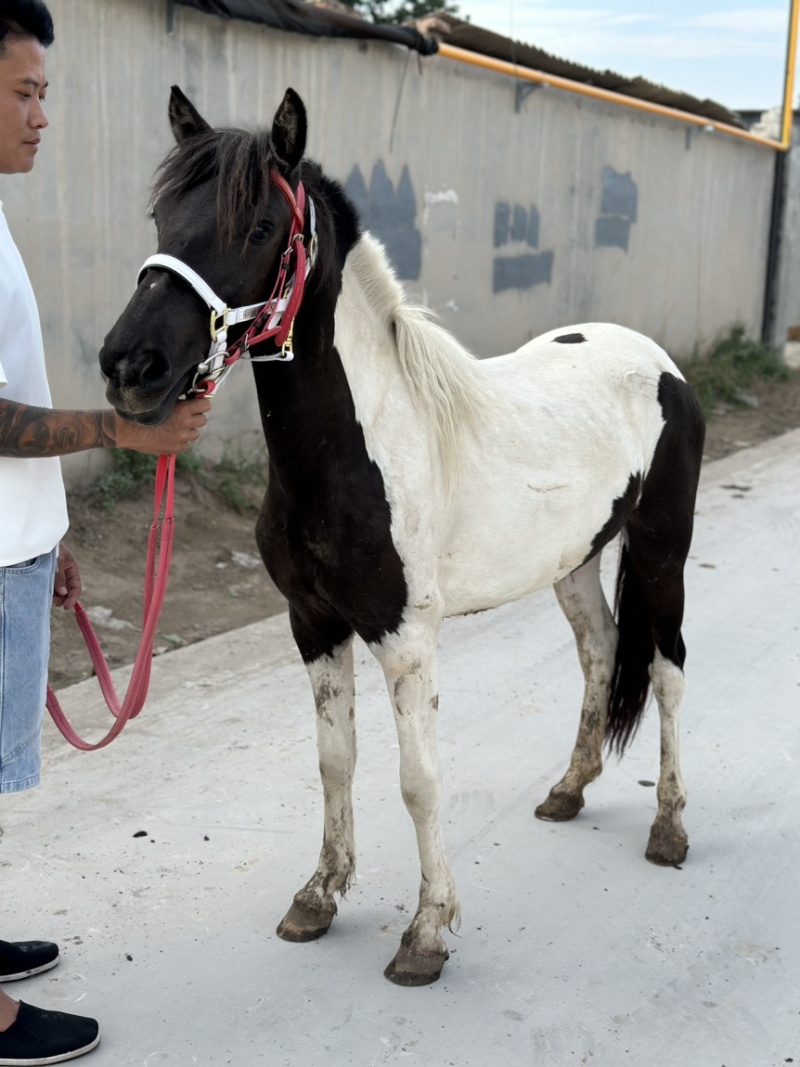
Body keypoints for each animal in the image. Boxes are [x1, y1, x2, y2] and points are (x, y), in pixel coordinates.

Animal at [99, 86, 705, 987]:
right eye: (161, 214)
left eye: (258, 226)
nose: (130, 367)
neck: (359, 446)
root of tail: (657, 360)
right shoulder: (314, 624)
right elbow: (334, 761)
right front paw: (318, 896)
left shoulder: (406, 637)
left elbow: (419, 780)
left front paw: (426, 933)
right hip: (574, 558)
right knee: (601, 648)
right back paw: (568, 789)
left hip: (663, 552)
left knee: (666, 669)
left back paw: (669, 827)